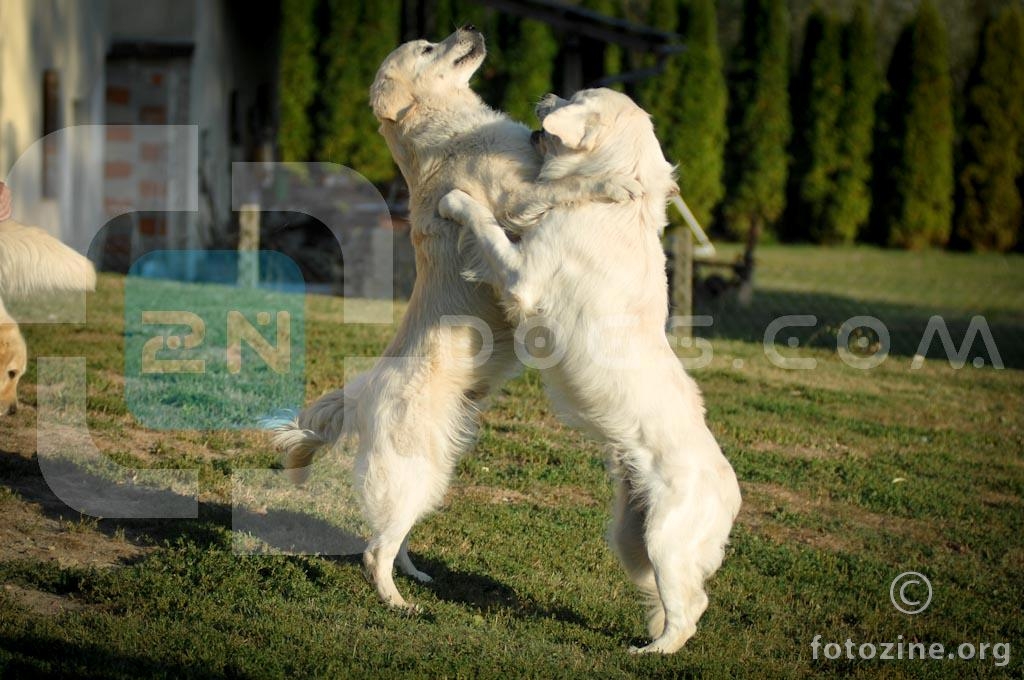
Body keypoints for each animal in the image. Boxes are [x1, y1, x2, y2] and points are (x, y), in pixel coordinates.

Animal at [436, 86, 741, 655]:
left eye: (574, 97)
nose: (546, 94)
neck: (619, 203)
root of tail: (731, 492)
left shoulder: (523, 277)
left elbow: (486, 222)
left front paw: (456, 201)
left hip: (664, 540)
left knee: (691, 609)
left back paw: (651, 653)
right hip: (631, 539)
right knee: (679, 601)